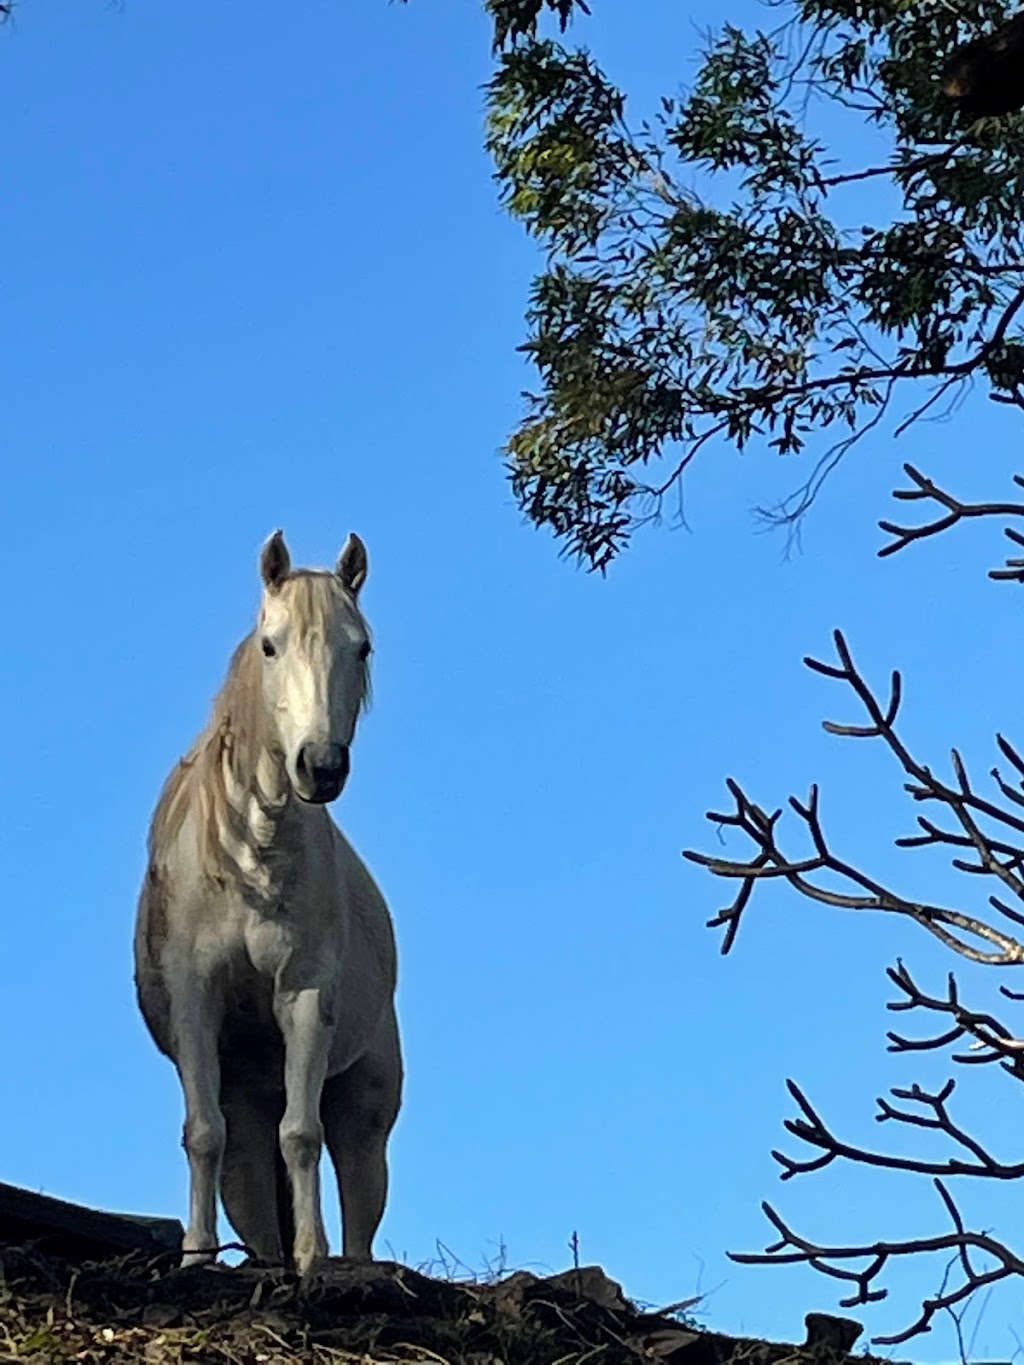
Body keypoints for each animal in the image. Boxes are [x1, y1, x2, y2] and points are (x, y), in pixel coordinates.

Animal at [135, 526, 404, 1272]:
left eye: (360, 647)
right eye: (270, 645)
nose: (321, 766)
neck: (249, 859)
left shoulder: (303, 996)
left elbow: (303, 1133)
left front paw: (310, 1258)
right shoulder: (195, 997)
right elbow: (202, 1132)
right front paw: (196, 1255)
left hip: (365, 1106)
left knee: (358, 1187)